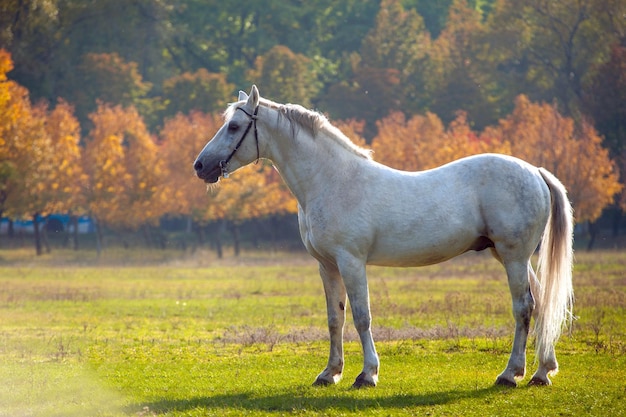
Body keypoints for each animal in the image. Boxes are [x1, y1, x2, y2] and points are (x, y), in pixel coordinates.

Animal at [193, 86, 572, 388]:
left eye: (234, 126)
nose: (200, 166)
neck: (332, 180)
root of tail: (535, 171)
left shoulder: (351, 261)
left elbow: (362, 316)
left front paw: (367, 374)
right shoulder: (327, 266)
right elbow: (335, 318)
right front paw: (329, 373)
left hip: (513, 256)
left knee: (523, 307)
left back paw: (511, 374)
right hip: (511, 256)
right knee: (541, 302)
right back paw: (542, 371)